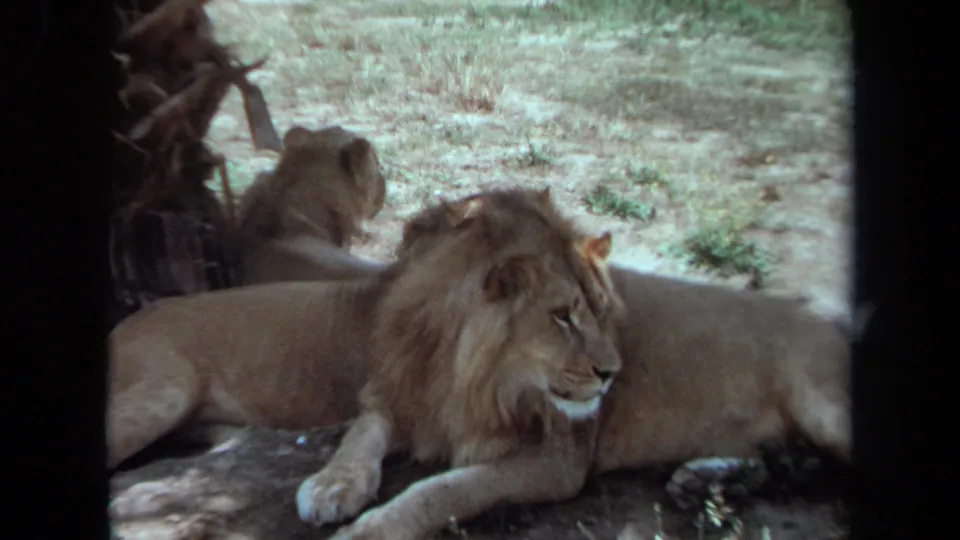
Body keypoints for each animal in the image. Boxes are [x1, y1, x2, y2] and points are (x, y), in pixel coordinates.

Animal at [108, 188, 625, 540]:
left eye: (602, 311)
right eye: (562, 316)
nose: (610, 374)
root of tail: (127, 320)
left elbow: (442, 483)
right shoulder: (386, 394)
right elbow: (360, 438)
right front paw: (332, 485)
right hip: (165, 391)